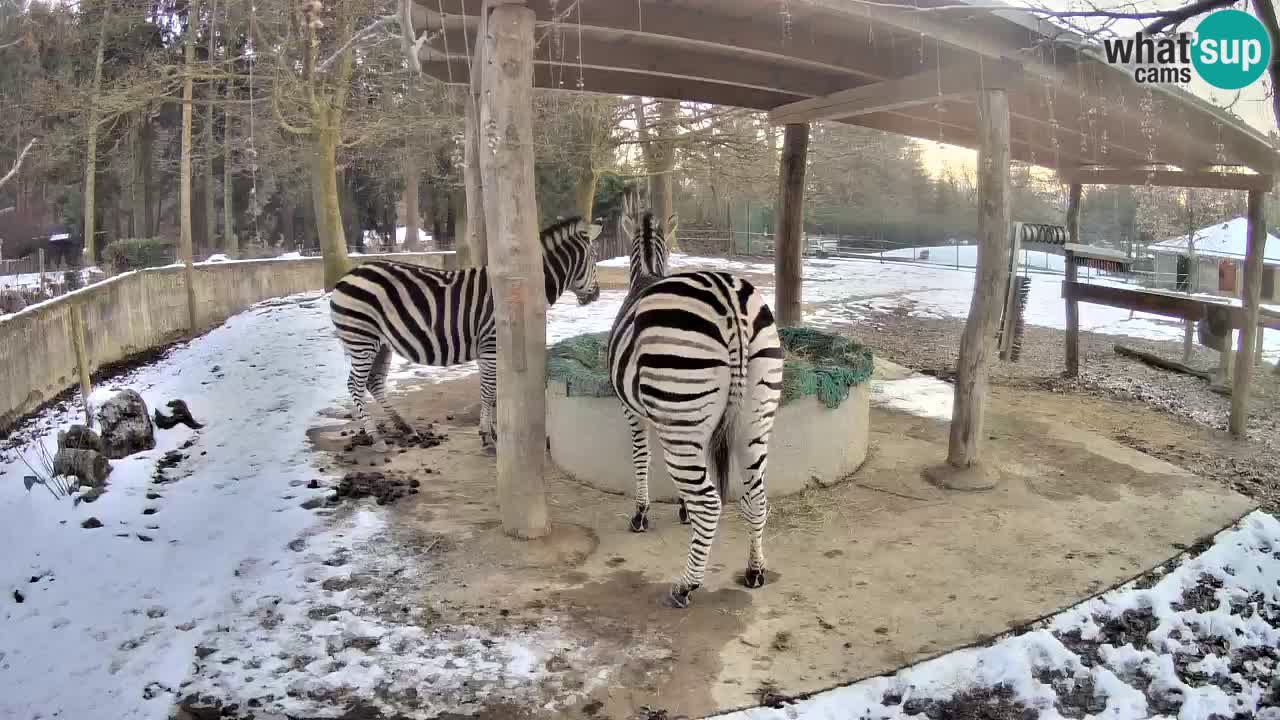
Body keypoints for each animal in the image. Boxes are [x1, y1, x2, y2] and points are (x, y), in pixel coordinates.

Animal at [335, 213, 604, 448]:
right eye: (594, 256)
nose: (597, 295)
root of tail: (349, 274)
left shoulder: (487, 349)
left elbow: (490, 391)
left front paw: (491, 431)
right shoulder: (491, 344)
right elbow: (488, 391)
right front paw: (487, 436)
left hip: (382, 344)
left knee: (374, 383)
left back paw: (405, 427)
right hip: (362, 339)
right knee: (355, 385)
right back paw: (375, 437)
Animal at [606, 208, 783, 604]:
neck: (646, 274)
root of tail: (729, 299)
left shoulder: (633, 411)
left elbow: (641, 458)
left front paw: (641, 514)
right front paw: (682, 510)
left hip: (682, 417)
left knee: (710, 503)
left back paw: (686, 585)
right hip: (754, 420)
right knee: (757, 498)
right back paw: (754, 570)